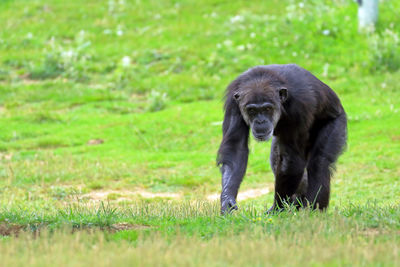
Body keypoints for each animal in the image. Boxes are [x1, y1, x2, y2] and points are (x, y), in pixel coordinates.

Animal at [216, 63, 346, 215]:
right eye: (252, 110)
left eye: (267, 109)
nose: (260, 121)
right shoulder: (233, 102)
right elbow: (235, 147)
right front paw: (227, 199)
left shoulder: (300, 106)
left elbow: (292, 161)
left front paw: (277, 209)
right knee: (276, 157)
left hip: (336, 122)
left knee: (319, 163)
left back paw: (313, 211)